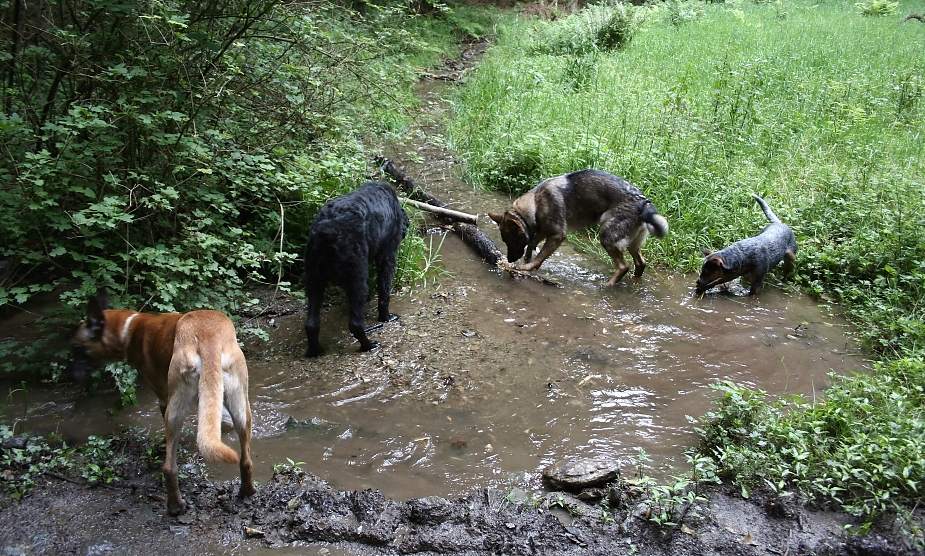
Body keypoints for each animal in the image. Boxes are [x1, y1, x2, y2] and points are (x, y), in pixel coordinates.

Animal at [70, 294, 254, 516]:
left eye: (77, 348)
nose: (72, 377)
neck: (129, 329)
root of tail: (207, 337)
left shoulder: (163, 397)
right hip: (241, 406)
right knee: (245, 459)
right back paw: (247, 491)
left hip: (174, 410)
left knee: (169, 467)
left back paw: (175, 506)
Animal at [304, 182, 408, 356]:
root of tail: (328, 229)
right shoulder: (387, 255)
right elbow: (384, 291)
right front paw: (386, 317)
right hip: (356, 279)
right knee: (355, 323)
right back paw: (369, 345)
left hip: (314, 278)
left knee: (311, 323)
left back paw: (315, 350)